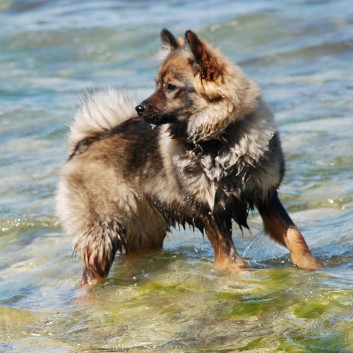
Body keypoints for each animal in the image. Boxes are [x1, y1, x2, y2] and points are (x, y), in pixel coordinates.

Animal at [56, 28, 320, 284]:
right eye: (157, 84)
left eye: (170, 87)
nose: (139, 108)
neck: (220, 142)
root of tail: (84, 143)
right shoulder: (210, 213)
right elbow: (231, 260)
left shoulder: (266, 196)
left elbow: (296, 237)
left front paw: (314, 269)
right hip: (104, 234)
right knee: (89, 276)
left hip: (145, 232)